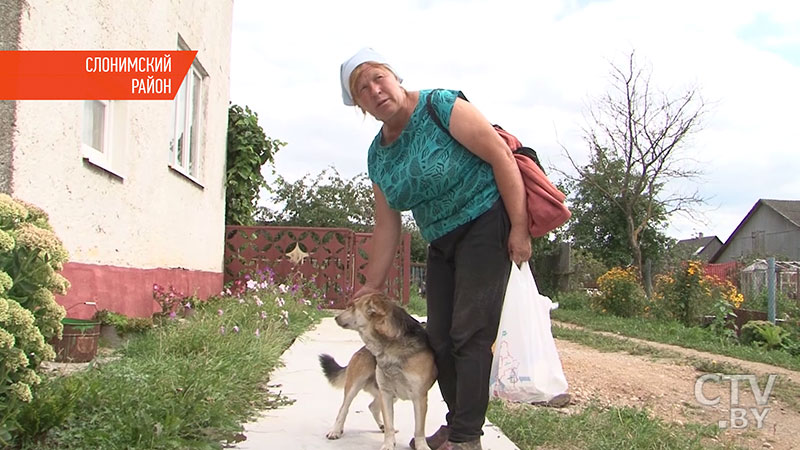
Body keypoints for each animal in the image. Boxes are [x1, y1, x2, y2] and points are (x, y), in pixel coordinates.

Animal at [318, 294, 438, 450]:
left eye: (353, 307)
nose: (336, 318)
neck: (388, 345)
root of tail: (363, 349)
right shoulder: (386, 393)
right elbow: (389, 424)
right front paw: (388, 444)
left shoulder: (419, 396)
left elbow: (419, 428)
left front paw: (421, 445)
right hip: (355, 385)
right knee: (344, 408)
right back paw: (335, 430)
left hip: (390, 395)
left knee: (372, 407)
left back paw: (381, 426)